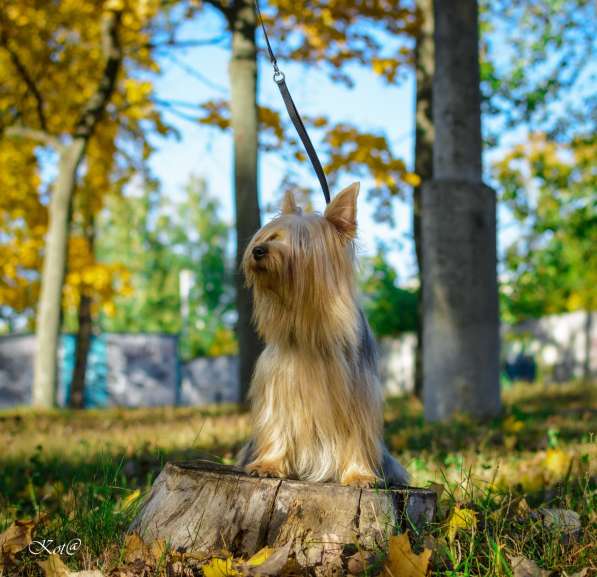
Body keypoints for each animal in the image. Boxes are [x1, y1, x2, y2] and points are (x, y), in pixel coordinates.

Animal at [235, 181, 408, 486]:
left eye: (301, 242)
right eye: (272, 236)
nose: (258, 250)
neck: (311, 321)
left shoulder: (357, 391)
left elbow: (356, 434)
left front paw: (359, 475)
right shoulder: (279, 386)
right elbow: (278, 424)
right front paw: (269, 465)